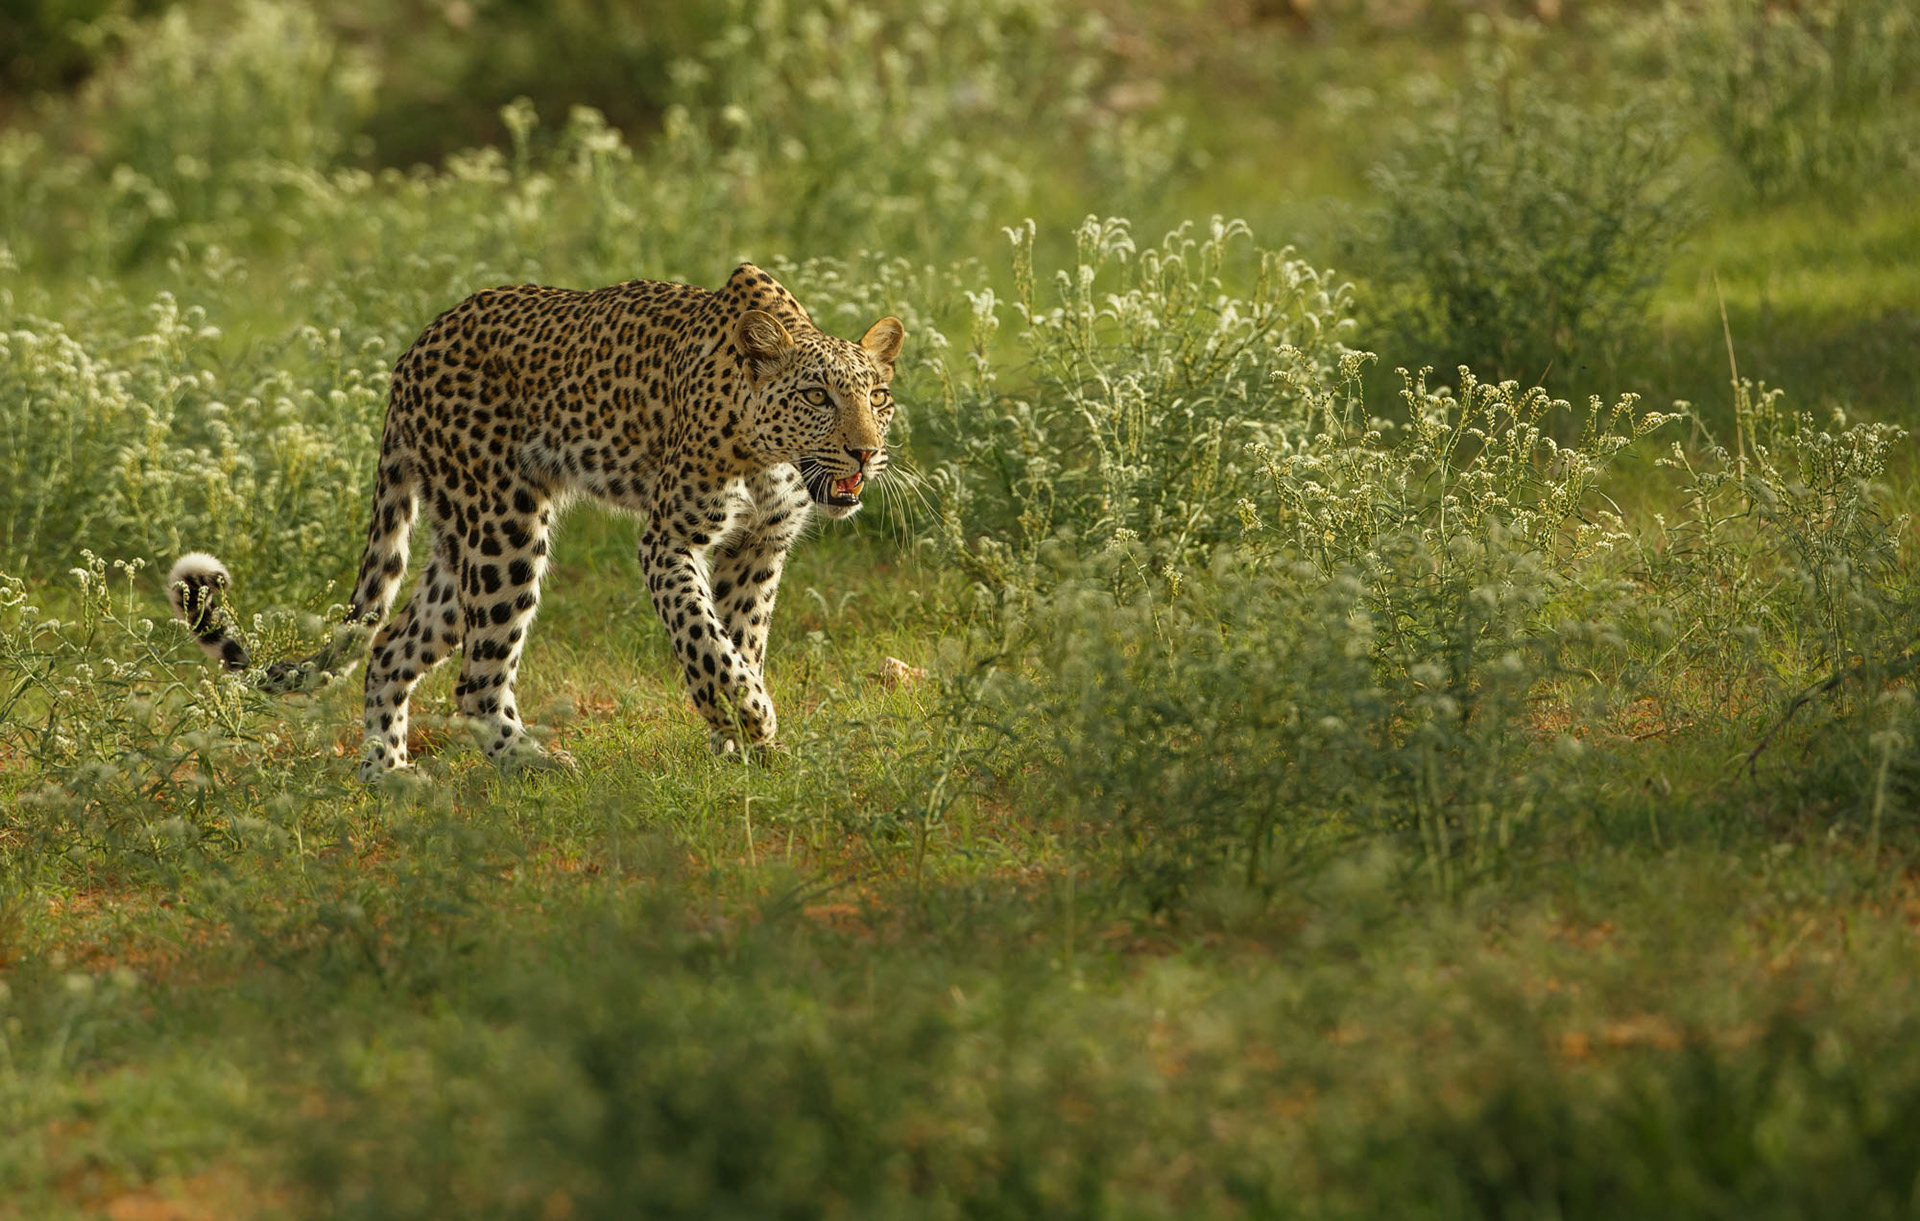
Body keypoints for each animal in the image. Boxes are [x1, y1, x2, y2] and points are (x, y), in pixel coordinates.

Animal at [168, 264, 904, 781]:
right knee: (475, 681)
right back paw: (537, 764)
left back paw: (388, 774)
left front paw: (742, 741)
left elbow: (740, 641)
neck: (769, 458)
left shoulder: (759, 546)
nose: (866, 452)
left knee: (391, 646)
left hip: (461, 539)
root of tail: (412, 352)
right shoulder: (668, 540)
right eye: (817, 395)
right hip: (504, 531)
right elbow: (703, 637)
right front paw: (749, 715)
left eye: (877, 396)